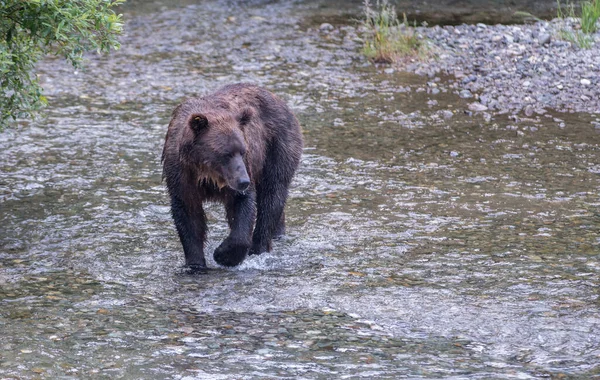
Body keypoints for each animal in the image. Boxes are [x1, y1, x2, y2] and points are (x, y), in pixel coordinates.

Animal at [162, 82, 302, 270]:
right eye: (225, 153)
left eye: (242, 151)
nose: (244, 181)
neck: (207, 174)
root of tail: (278, 99)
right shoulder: (182, 175)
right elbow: (188, 215)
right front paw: (195, 265)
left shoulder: (242, 171)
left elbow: (243, 206)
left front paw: (223, 255)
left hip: (276, 148)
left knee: (272, 197)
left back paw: (259, 248)